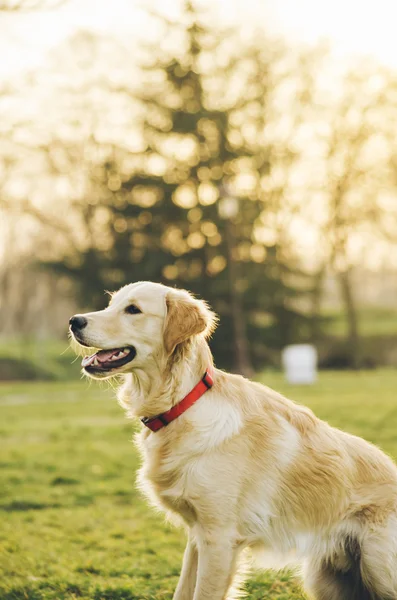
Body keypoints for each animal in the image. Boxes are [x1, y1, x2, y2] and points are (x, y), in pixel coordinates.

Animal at [69, 282, 396, 600]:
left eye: (133, 310)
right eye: (111, 304)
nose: (74, 321)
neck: (182, 405)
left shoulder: (219, 537)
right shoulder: (198, 535)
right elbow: (183, 591)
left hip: (377, 563)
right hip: (323, 578)